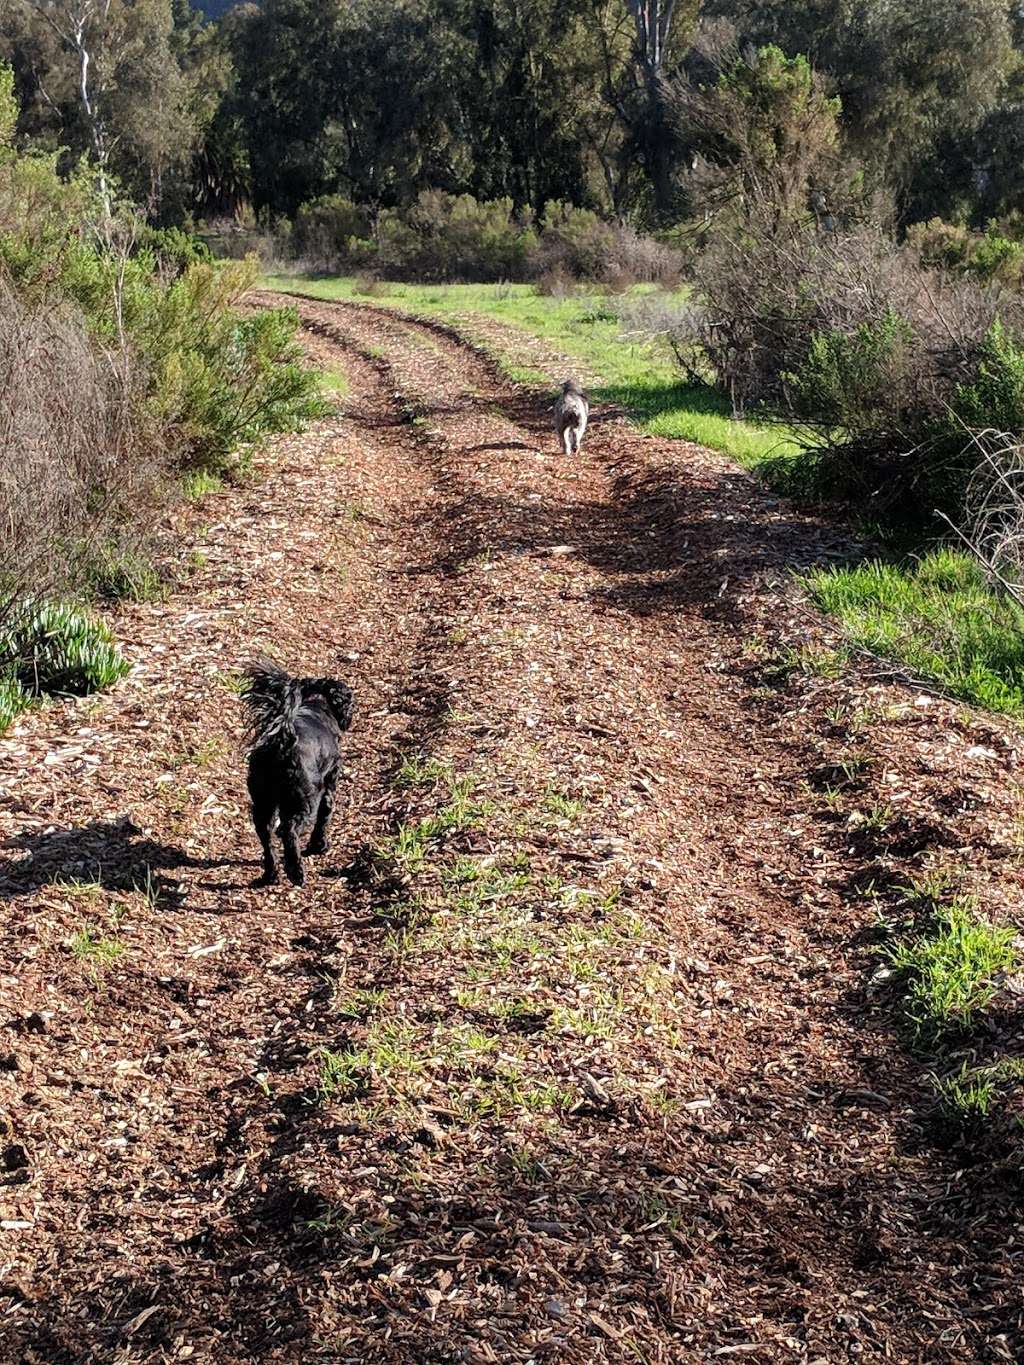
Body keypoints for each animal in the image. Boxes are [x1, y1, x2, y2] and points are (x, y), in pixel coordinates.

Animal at [243, 657, 354, 884]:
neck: (316, 704)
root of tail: (281, 743)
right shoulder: (330, 783)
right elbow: (325, 816)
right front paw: (319, 846)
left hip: (263, 801)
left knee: (266, 834)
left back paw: (271, 874)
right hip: (304, 799)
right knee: (289, 830)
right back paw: (295, 871)